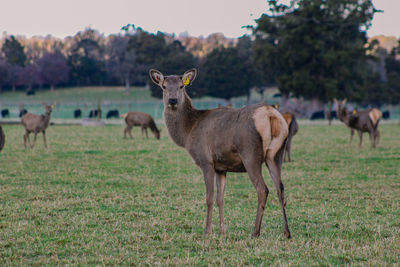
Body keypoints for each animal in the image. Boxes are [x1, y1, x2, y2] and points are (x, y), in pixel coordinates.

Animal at [148, 69, 290, 239]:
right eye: (164, 86)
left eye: (182, 86)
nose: (173, 100)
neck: (188, 132)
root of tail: (270, 114)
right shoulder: (221, 168)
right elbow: (220, 198)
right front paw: (222, 230)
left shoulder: (206, 161)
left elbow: (209, 198)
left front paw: (207, 231)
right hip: (276, 153)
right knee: (280, 188)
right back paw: (287, 232)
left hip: (250, 153)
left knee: (263, 189)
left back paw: (255, 232)